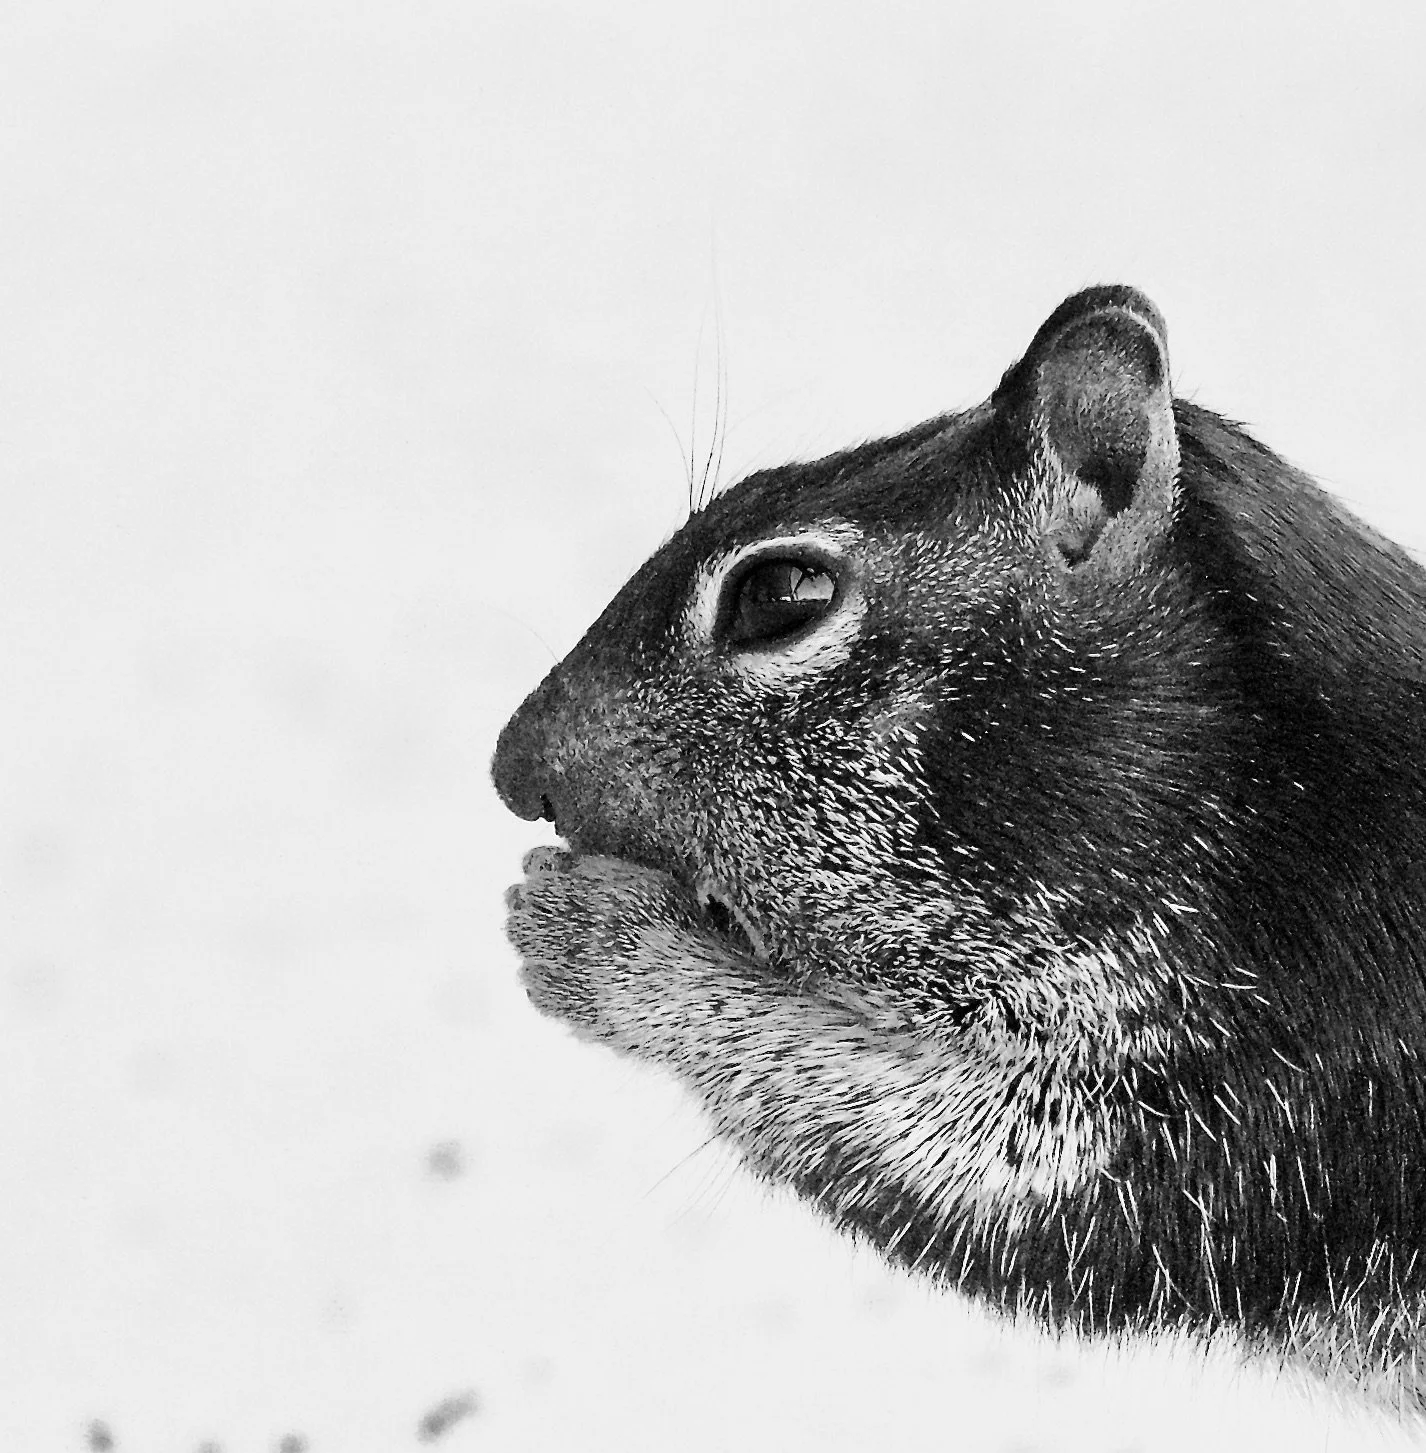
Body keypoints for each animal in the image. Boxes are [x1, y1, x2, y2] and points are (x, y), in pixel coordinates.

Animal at [492, 286, 1426, 1412]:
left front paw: (596, 935)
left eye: (780, 593)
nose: (511, 771)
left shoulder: (1270, 1091)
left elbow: (973, 1175)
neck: (1290, 783)